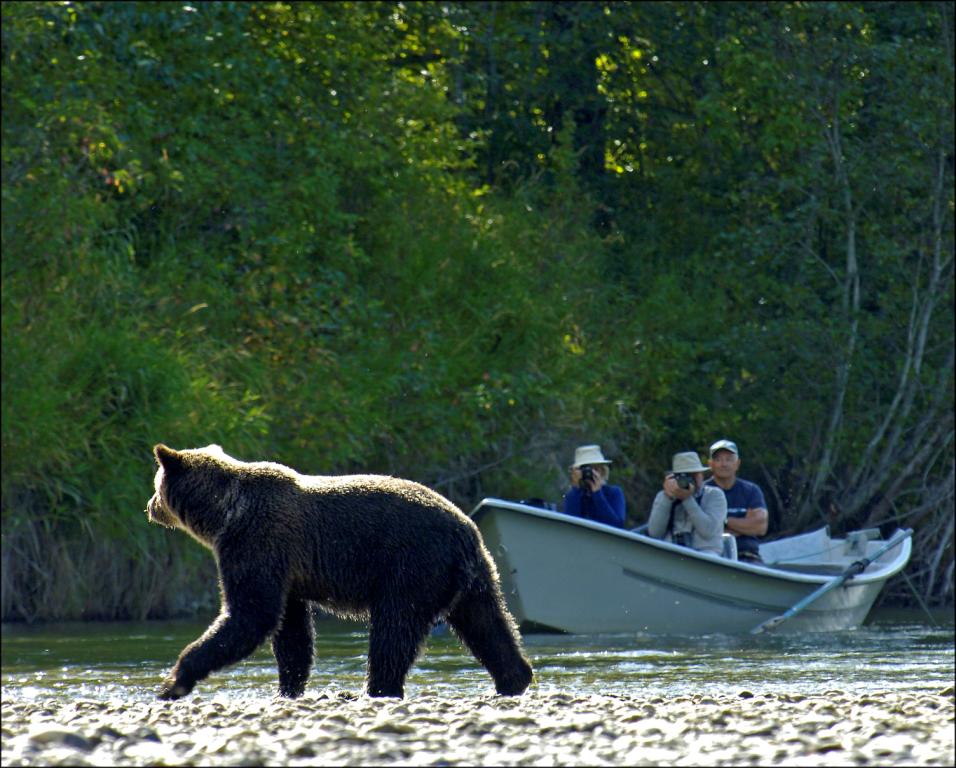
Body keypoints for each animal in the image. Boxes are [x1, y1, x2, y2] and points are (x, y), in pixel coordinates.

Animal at [146, 444, 533, 700]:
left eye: (156, 485)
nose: (149, 506)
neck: (224, 515)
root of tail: (467, 530)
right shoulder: (288, 571)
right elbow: (291, 630)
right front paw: (289, 686)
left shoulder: (257, 544)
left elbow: (250, 615)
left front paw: (174, 680)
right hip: (473, 577)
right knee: (488, 624)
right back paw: (515, 678)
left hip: (411, 567)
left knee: (393, 630)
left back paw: (378, 688)